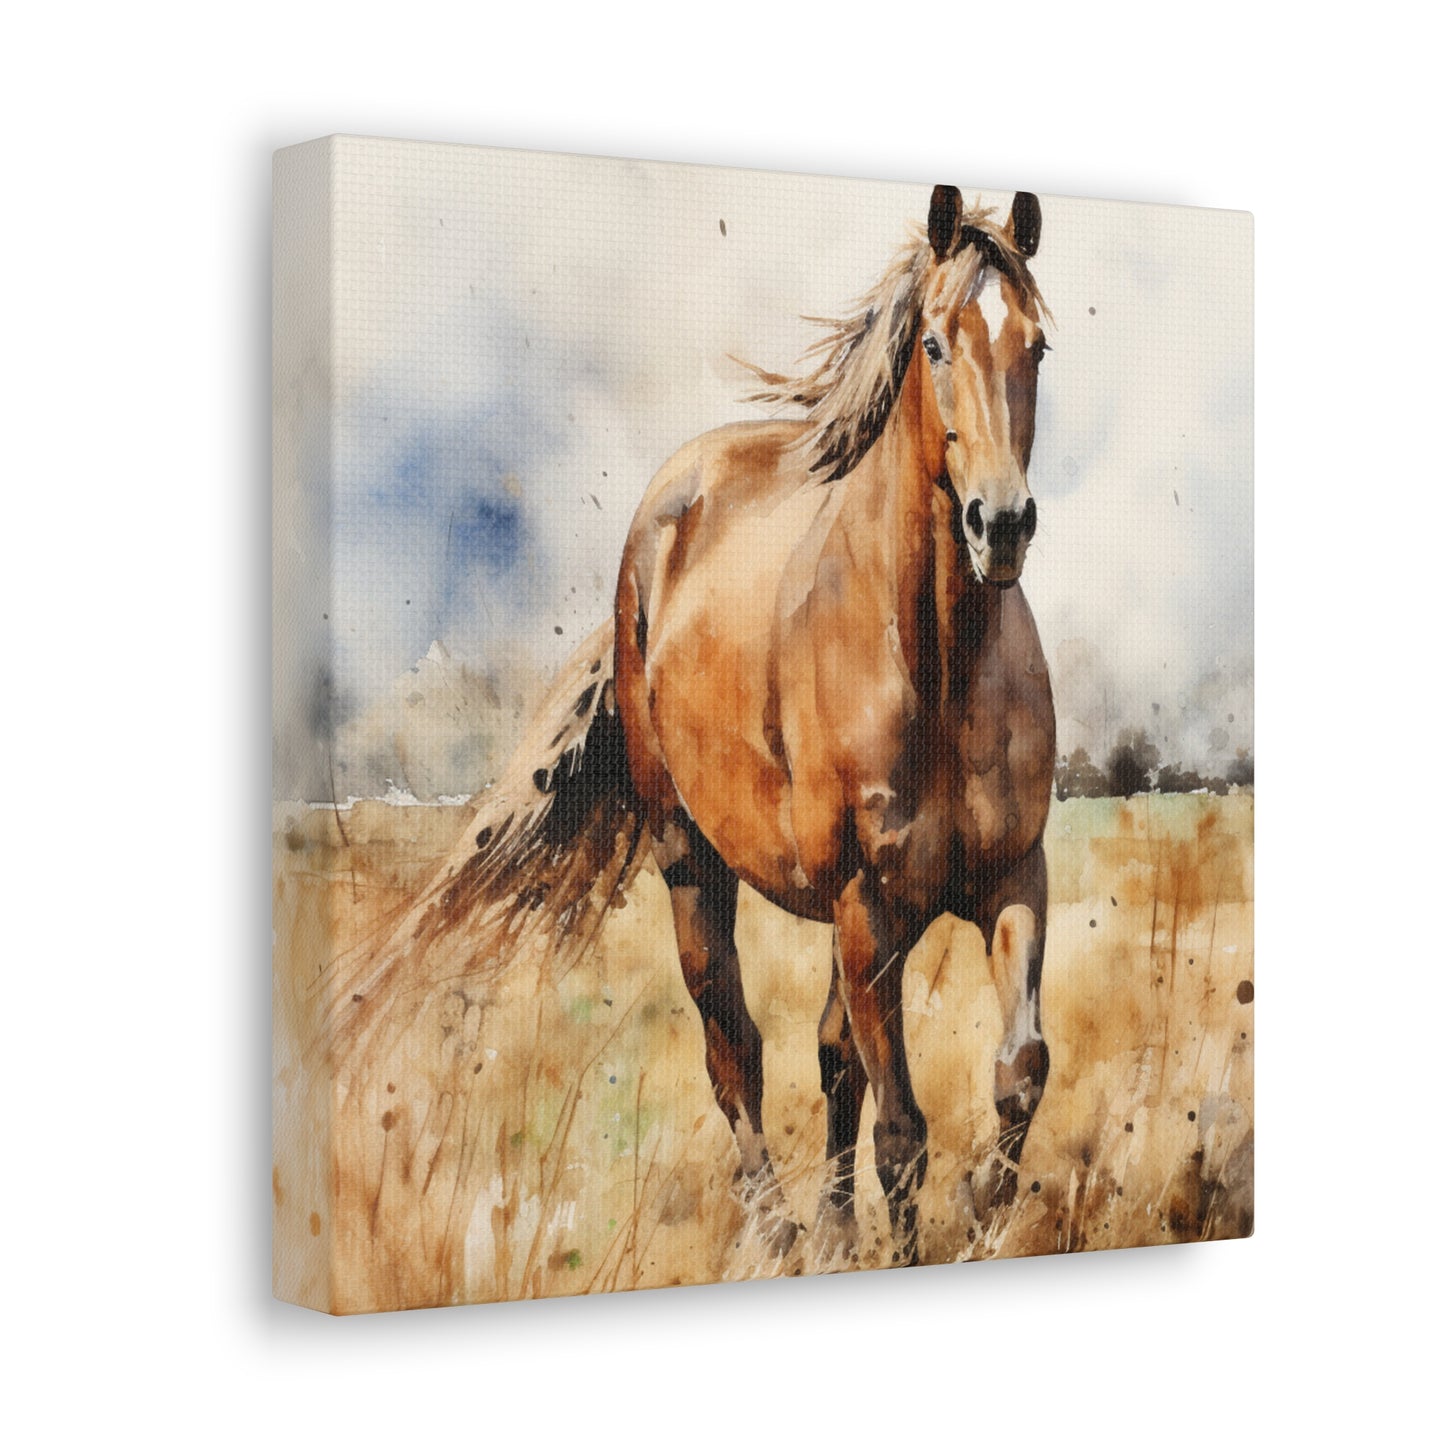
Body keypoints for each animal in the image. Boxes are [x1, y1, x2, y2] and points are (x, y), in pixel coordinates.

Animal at [342, 185, 1056, 1267]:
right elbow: (899, 1128)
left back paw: (830, 1229)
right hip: (693, 859)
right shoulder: (867, 902)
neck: (938, 662)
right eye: (934, 343)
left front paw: (980, 1209)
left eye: (1037, 345)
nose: (1000, 525)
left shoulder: (1011, 877)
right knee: (735, 1049)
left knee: (828, 1056)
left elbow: (1017, 1067)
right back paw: (777, 1228)